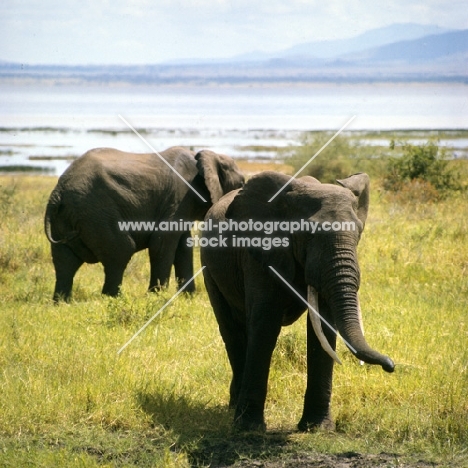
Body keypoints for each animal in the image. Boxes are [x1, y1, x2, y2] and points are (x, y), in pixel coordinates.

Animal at [44, 145, 245, 304]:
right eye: (242, 182)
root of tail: (57, 192)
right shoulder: (179, 197)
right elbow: (162, 243)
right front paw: (157, 297)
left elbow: (183, 247)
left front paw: (187, 297)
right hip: (96, 212)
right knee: (121, 251)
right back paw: (114, 298)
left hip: (67, 218)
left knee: (64, 261)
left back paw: (62, 302)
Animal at [201, 171, 394, 432]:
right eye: (308, 234)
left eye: (358, 233)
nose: (390, 366)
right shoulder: (261, 254)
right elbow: (265, 324)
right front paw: (249, 428)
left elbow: (323, 328)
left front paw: (317, 428)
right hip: (208, 265)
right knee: (231, 328)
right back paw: (234, 408)